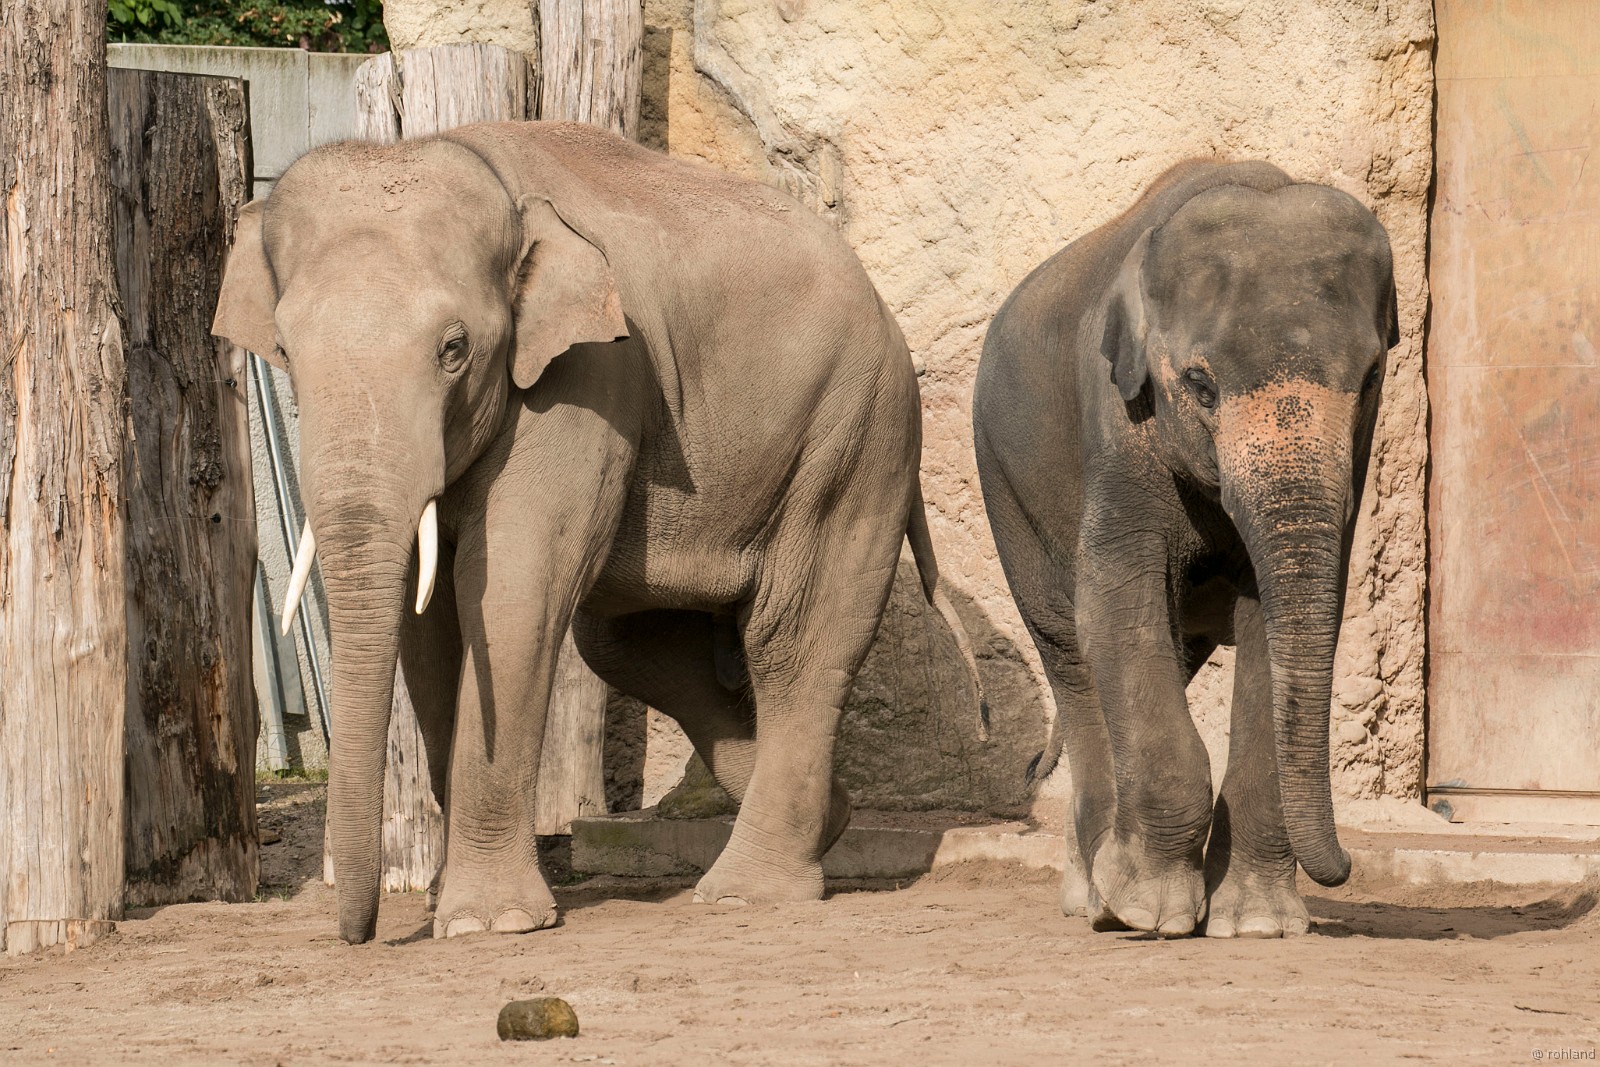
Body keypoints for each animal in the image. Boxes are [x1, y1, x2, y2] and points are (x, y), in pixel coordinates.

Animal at [212, 121, 984, 944]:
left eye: (454, 350)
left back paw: (748, 892)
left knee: (794, 638)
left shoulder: (588, 377)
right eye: (285, 350)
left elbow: (512, 597)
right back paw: (830, 817)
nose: (360, 937)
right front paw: (446, 902)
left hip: (855, 435)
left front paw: (486, 923)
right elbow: (430, 629)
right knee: (631, 641)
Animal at [972, 161, 1398, 938]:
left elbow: (1278, 628)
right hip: (1004, 485)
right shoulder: (1118, 428)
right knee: (1069, 651)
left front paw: (1257, 923)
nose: (1347, 866)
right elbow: (1117, 607)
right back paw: (1096, 896)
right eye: (1200, 384)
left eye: (1372, 377)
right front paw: (1149, 911)